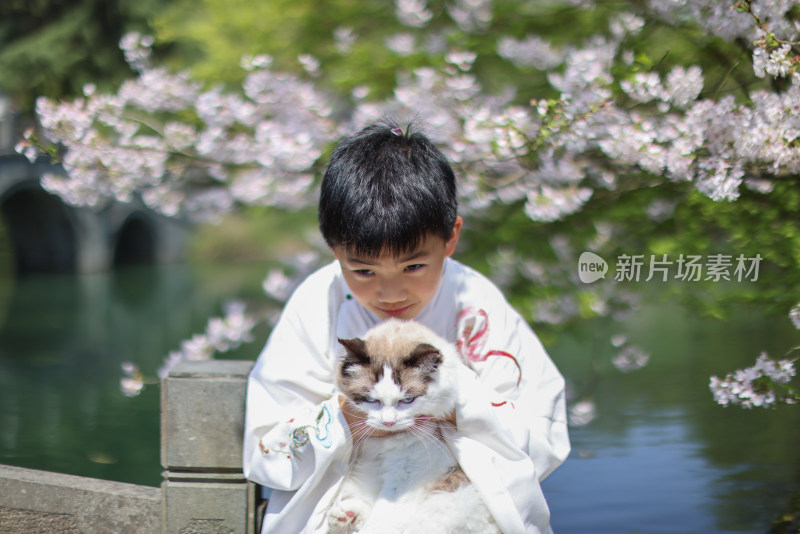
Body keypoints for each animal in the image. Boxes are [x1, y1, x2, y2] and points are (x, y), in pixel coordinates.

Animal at [326, 320, 500, 532]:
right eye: (371, 400)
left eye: (407, 400)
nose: (388, 422)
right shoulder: (373, 459)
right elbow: (368, 489)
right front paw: (350, 514)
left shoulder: (406, 472)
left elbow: (383, 515)